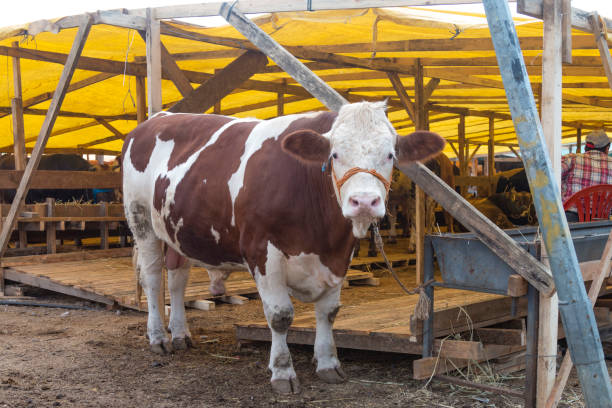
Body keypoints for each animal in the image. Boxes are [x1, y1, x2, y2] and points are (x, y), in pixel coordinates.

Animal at [120, 101, 444, 392]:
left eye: (390, 155)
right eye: (335, 154)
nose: (364, 202)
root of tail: (157, 118)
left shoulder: (340, 254)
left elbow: (329, 312)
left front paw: (328, 364)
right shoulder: (262, 251)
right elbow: (280, 315)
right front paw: (282, 372)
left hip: (177, 229)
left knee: (177, 280)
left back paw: (180, 334)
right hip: (142, 221)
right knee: (152, 279)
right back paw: (158, 338)